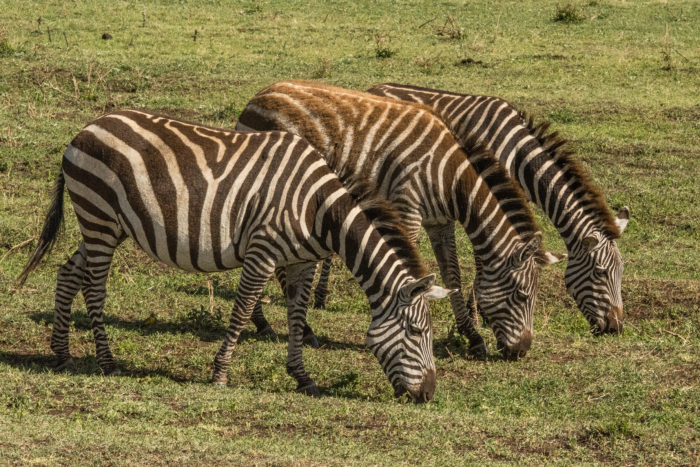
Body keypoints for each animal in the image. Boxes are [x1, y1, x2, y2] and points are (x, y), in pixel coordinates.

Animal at [19, 109, 454, 402]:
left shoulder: (302, 261)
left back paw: (62, 354)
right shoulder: (262, 251)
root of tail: (85, 129)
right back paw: (107, 362)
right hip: (100, 218)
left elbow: (298, 316)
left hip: (106, 225)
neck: (317, 208)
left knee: (68, 272)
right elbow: (243, 310)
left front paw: (302, 377)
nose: (429, 395)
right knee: (94, 287)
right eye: (418, 333)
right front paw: (220, 374)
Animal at [235, 80, 564, 360]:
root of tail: (258, 97)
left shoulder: (439, 221)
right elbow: (409, 274)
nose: (521, 352)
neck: (449, 176)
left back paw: (265, 323)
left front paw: (472, 336)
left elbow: (452, 275)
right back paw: (294, 329)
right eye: (522, 295)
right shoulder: (407, 208)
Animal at [366, 83, 628, 332]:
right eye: (600, 272)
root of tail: (374, 88)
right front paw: (478, 313)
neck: (519, 156)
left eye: (621, 272)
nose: (615, 327)